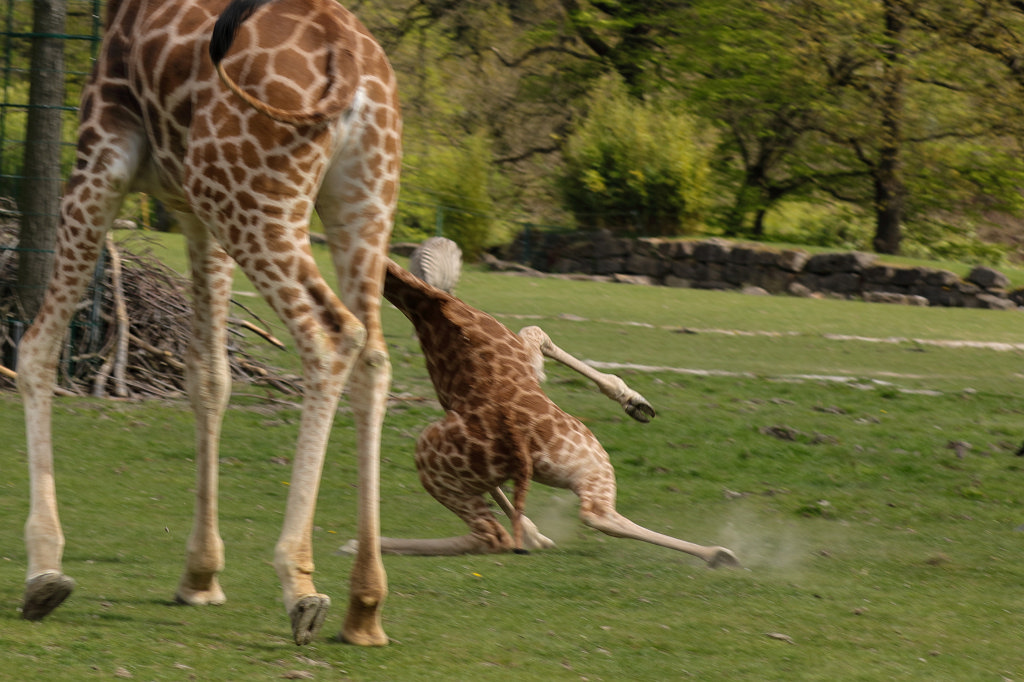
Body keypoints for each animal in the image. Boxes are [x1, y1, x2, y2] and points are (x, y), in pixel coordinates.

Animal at [15, 0, 400, 646]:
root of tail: (346, 55)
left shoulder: (102, 157)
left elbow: (35, 348)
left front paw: (43, 569)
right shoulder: (196, 215)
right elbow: (209, 378)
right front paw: (200, 575)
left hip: (252, 198)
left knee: (331, 337)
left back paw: (299, 583)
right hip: (361, 201)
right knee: (373, 353)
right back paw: (365, 607)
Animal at [343, 259, 740, 567]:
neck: (426, 305)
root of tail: (518, 441)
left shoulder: (460, 405)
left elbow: (538, 332)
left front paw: (534, 535)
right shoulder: (521, 362)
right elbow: (539, 331)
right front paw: (635, 402)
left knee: (508, 531)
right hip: (581, 457)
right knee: (588, 516)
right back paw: (719, 554)